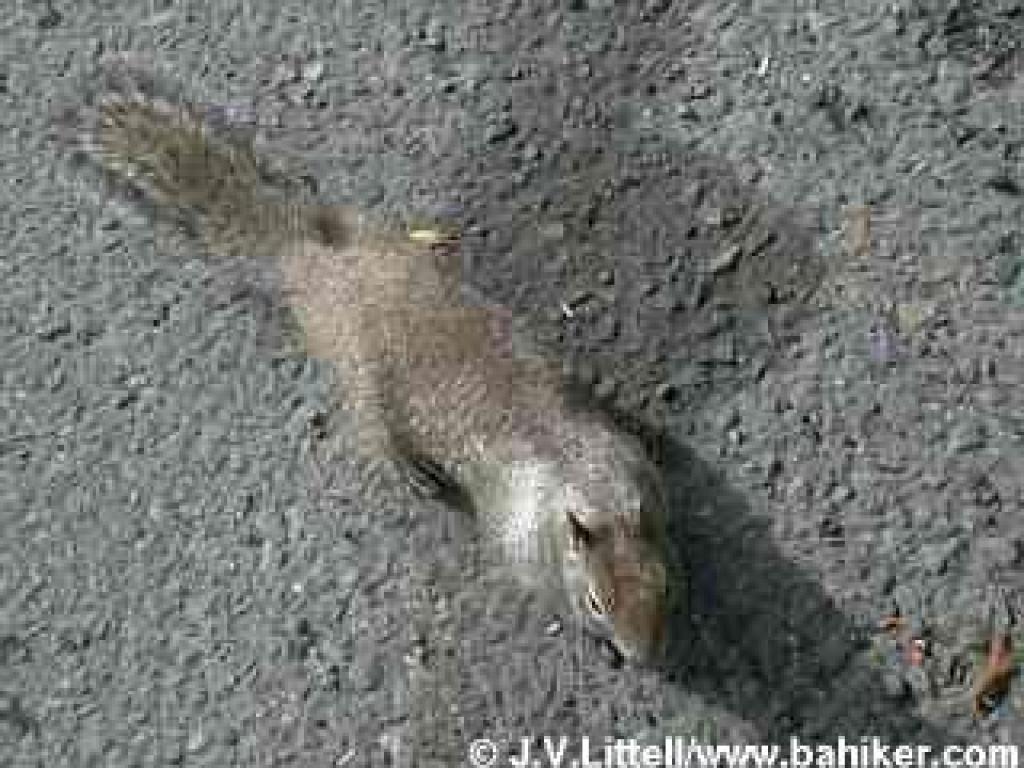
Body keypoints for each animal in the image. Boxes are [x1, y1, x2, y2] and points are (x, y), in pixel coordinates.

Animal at [62, 54, 672, 663]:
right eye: (595, 602)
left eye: (661, 585)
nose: (643, 656)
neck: (582, 484)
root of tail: (307, 264)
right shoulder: (520, 543)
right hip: (358, 378)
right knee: (371, 431)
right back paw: (410, 473)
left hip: (372, 235)